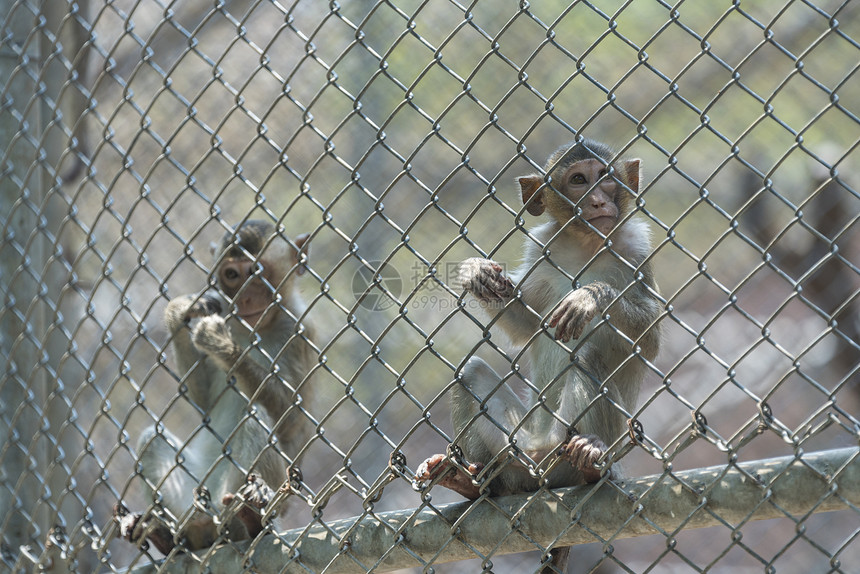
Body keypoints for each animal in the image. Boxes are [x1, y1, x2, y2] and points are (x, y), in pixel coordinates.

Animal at [114, 220, 316, 552]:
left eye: (256, 272)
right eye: (231, 275)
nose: (245, 299)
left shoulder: (300, 331)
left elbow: (292, 419)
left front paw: (220, 344)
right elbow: (204, 403)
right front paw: (179, 312)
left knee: (255, 417)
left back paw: (251, 520)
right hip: (198, 493)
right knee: (151, 439)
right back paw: (176, 535)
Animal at [420, 141, 660, 574]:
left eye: (604, 176)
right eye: (578, 180)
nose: (598, 200)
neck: (586, 243)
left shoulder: (638, 250)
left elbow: (649, 342)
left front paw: (592, 297)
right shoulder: (541, 246)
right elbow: (525, 324)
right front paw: (476, 274)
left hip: (565, 452)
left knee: (588, 357)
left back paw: (589, 465)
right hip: (516, 448)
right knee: (472, 374)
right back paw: (472, 485)